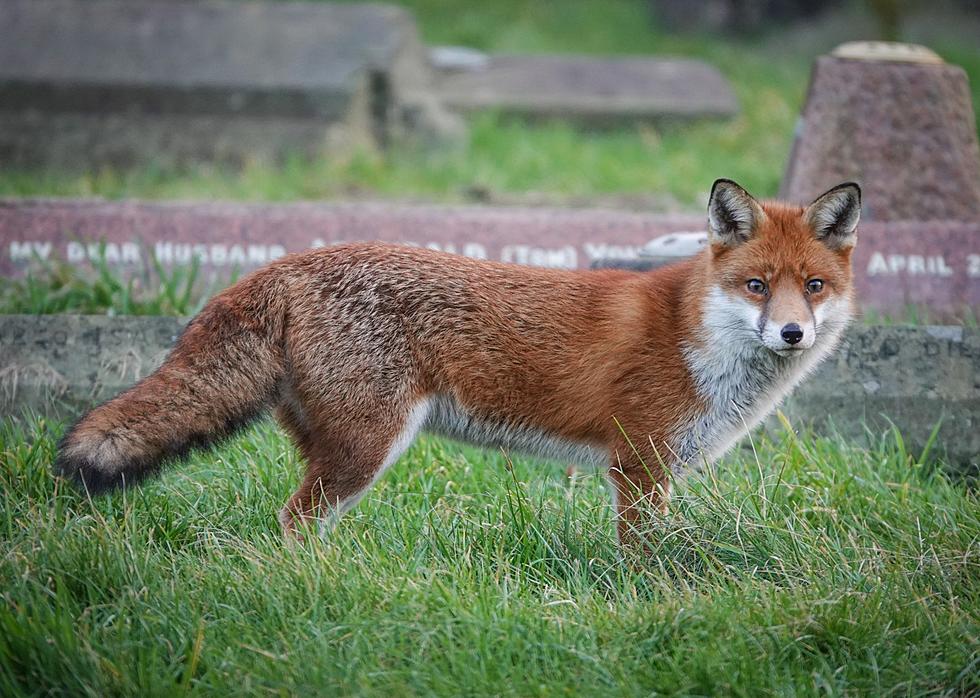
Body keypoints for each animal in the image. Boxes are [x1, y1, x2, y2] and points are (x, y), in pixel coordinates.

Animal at [55, 178, 856, 544]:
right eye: (756, 286)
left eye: (813, 286)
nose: (792, 334)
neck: (699, 340)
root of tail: (285, 265)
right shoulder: (638, 467)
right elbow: (647, 564)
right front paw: (652, 606)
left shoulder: (659, 473)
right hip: (367, 448)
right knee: (293, 522)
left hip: (338, 448)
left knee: (298, 522)